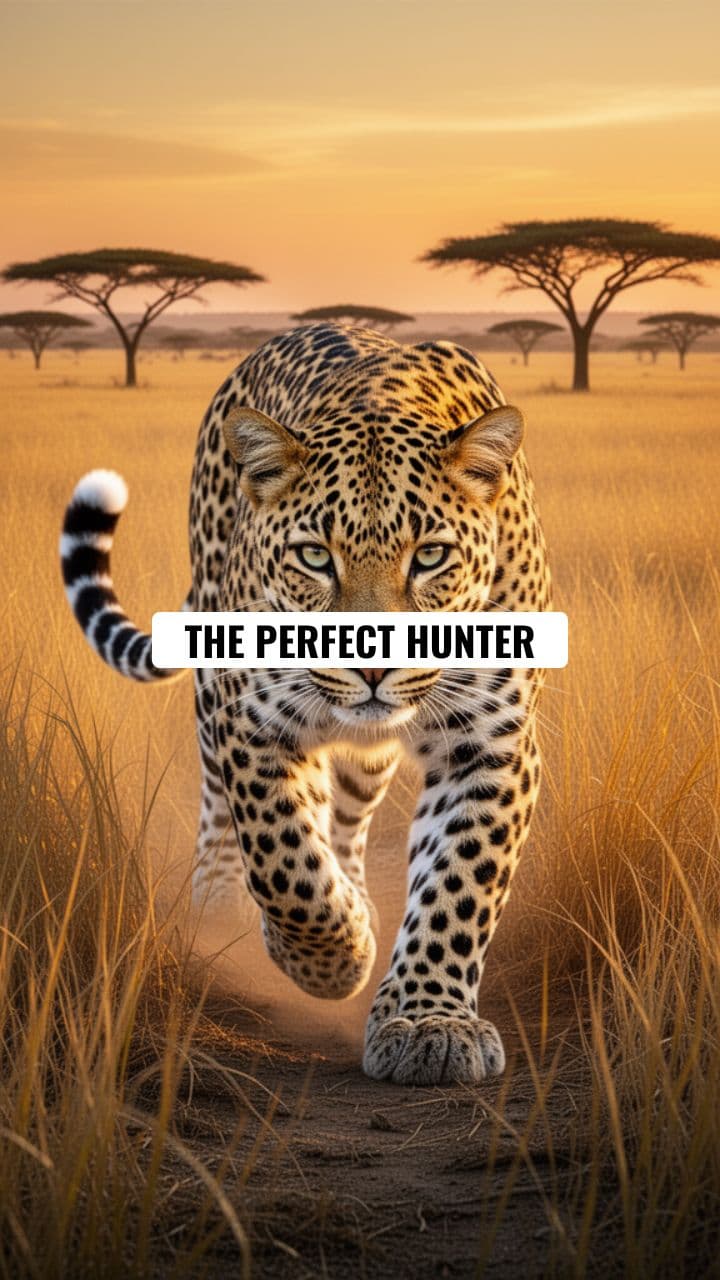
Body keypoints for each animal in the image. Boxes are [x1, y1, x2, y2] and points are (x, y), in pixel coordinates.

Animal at [60, 322, 552, 1086]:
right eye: (316, 557)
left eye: (431, 556)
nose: (373, 663)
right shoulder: (252, 720)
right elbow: (283, 859)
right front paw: (332, 961)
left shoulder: (492, 739)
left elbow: (459, 882)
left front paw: (429, 1021)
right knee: (223, 809)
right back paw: (224, 909)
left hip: (364, 755)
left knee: (345, 818)